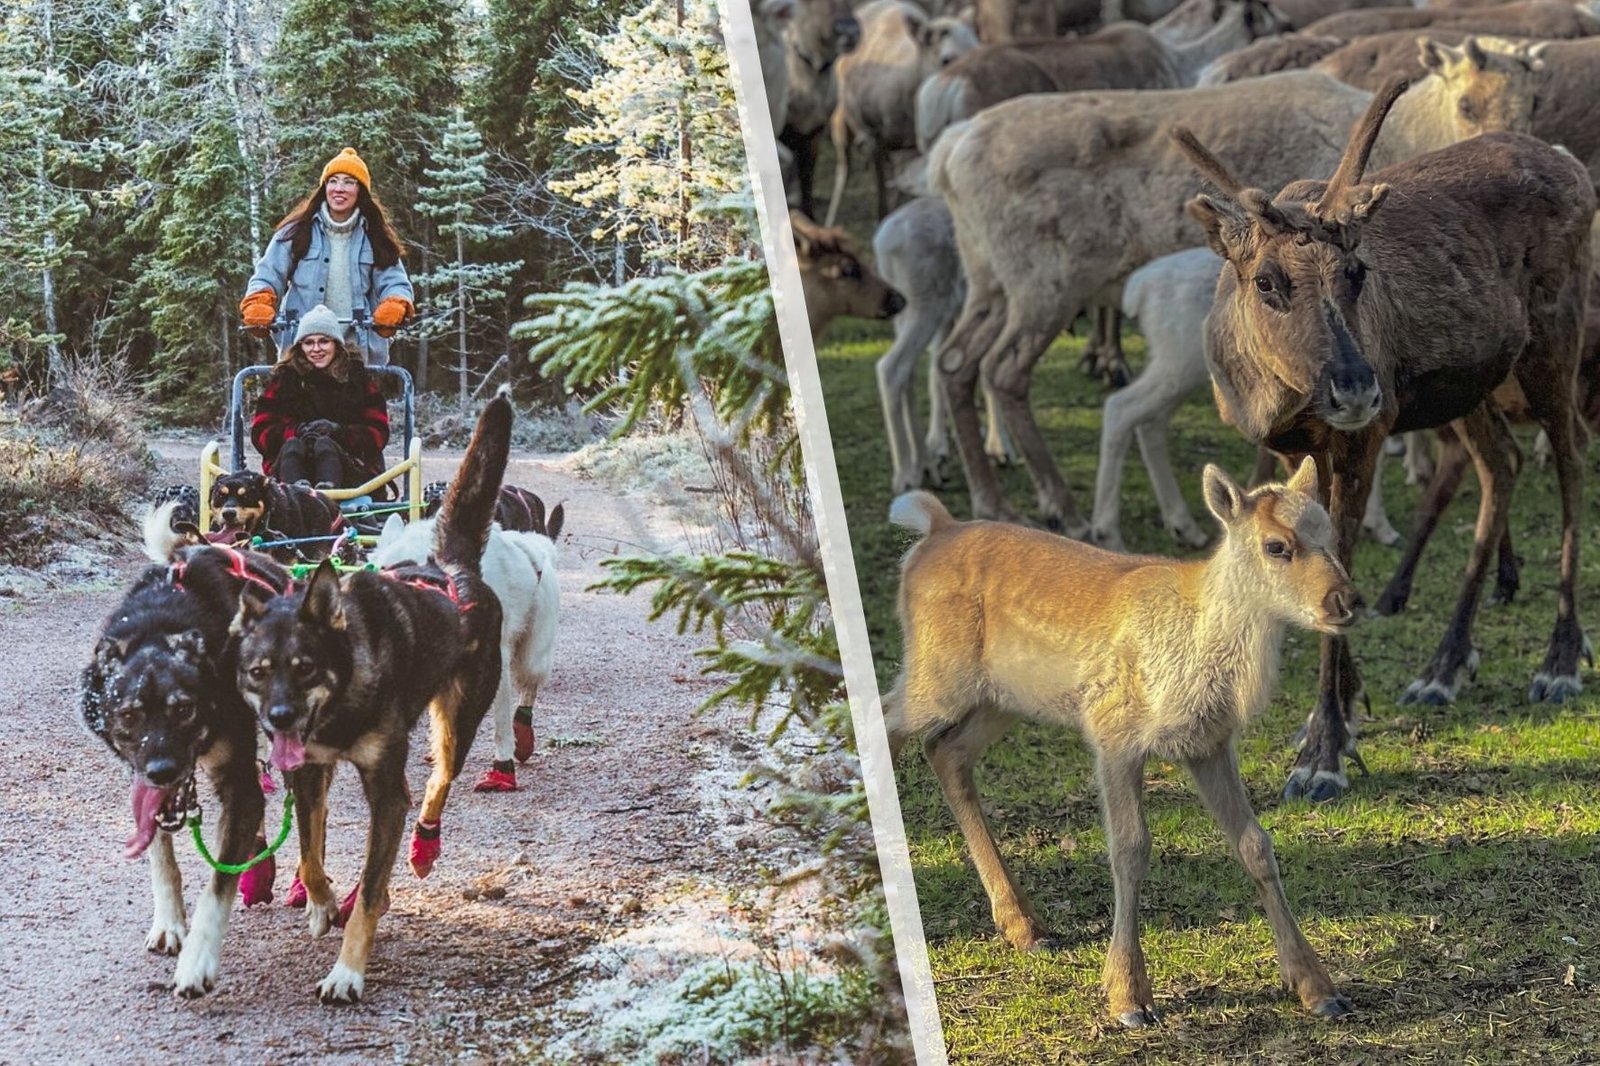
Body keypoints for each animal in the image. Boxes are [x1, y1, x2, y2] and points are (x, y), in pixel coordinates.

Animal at [83, 512, 294, 992]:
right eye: (129, 715)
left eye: (184, 709)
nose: (163, 770)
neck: (158, 629)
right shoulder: (142, 778)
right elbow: (161, 855)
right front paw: (169, 923)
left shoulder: (235, 778)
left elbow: (217, 885)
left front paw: (198, 959)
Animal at [227, 388, 505, 998]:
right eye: (257, 671)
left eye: (306, 667)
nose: (278, 719)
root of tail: (452, 568)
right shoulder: (308, 772)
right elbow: (309, 853)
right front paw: (321, 903)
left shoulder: (385, 792)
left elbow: (372, 891)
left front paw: (348, 970)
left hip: (457, 721)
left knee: (437, 781)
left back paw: (425, 844)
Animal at [883, 454, 1356, 1024]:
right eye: (1276, 545)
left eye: (1330, 534)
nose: (1346, 600)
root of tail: (932, 528)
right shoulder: (1114, 730)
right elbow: (1130, 847)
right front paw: (1129, 998)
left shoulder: (1209, 743)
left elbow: (1256, 844)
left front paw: (1318, 988)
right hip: (936, 675)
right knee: (882, 717)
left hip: (999, 699)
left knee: (945, 750)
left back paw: (1026, 928)